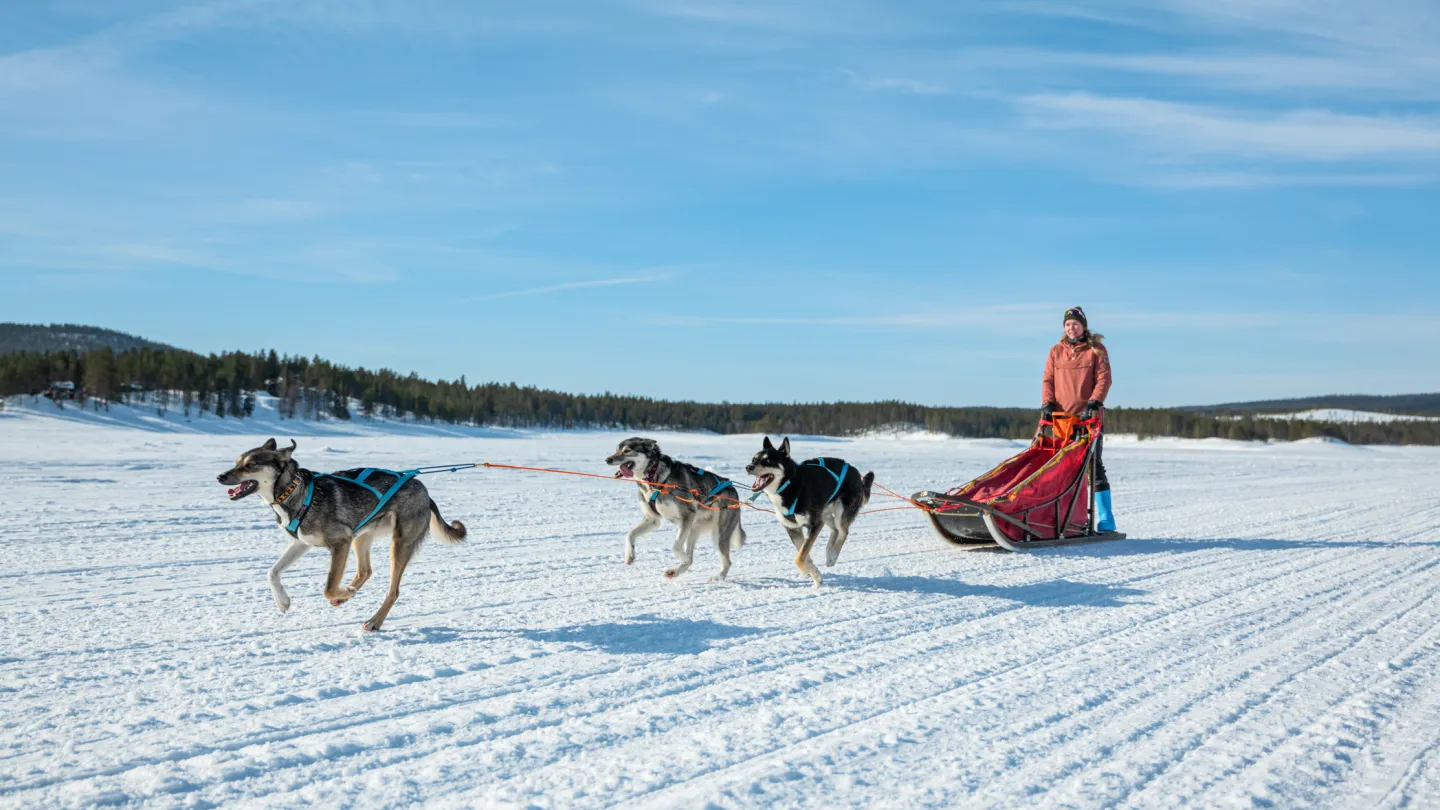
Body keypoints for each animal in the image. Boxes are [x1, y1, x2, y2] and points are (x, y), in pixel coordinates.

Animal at [213, 435, 466, 631]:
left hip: (398, 545)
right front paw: (282, 601)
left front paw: (340, 592)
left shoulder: (340, 543)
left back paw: (373, 620)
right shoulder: (303, 543)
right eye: (237, 462)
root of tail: (425, 492)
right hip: (361, 537)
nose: (220, 476)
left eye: (250, 465)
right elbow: (272, 572)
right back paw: (346, 595)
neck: (293, 491)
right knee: (365, 571)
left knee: (392, 591)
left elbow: (327, 587)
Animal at [601, 438, 748, 576]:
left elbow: (676, 548)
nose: (607, 459)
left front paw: (683, 558)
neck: (654, 477)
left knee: (727, 562)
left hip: (717, 533)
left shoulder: (686, 516)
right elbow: (629, 534)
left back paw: (718, 577)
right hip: (693, 529)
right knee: (692, 558)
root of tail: (732, 488)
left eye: (627, 450)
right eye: (616, 450)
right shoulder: (652, 520)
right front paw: (629, 555)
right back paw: (675, 571)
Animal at [748, 435, 869, 585]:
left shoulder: (814, 525)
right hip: (824, 514)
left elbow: (799, 557)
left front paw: (816, 577)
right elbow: (804, 554)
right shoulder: (793, 529)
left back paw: (833, 555)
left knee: (843, 531)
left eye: (768, 460)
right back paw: (828, 552)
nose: (748, 467)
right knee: (835, 530)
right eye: (754, 459)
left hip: (840, 513)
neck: (789, 485)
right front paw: (812, 572)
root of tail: (855, 471)